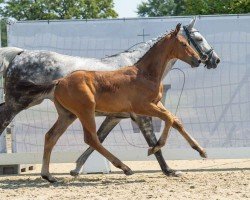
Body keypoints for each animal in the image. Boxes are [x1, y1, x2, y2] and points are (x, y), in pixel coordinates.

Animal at [0, 19, 219, 183]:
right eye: (194, 39)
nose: (210, 60)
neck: (142, 71)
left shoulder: (125, 113)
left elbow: (175, 120)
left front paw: (200, 151)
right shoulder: (142, 111)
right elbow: (163, 125)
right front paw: (162, 160)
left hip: (68, 114)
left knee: (52, 136)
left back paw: (49, 176)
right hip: (40, 106)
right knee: (87, 138)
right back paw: (125, 167)